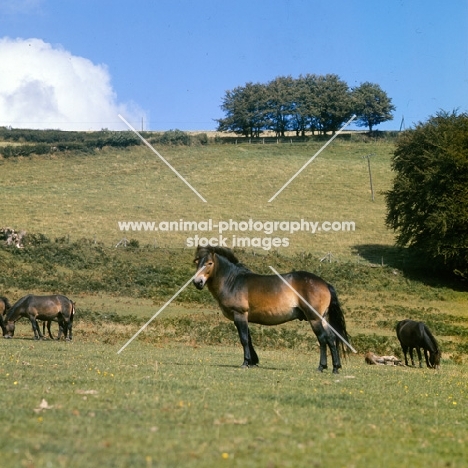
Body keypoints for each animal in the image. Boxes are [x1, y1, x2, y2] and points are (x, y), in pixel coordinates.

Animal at [192, 245, 350, 372]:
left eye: (209, 263)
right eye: (196, 262)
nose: (197, 282)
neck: (233, 281)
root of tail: (324, 284)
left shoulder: (240, 315)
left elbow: (244, 339)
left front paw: (246, 362)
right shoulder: (244, 317)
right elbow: (249, 339)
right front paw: (253, 362)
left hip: (314, 319)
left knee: (322, 339)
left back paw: (321, 366)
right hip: (322, 319)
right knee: (331, 338)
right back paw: (335, 367)